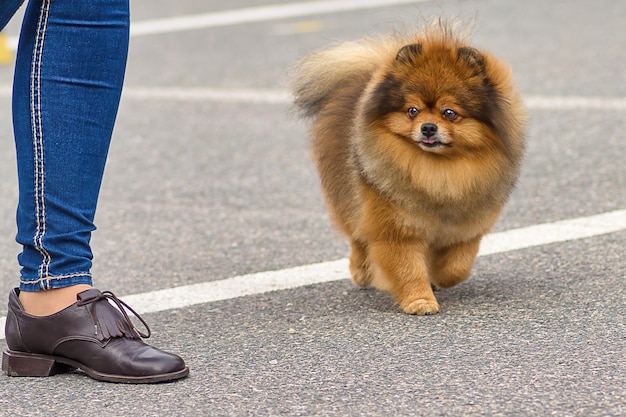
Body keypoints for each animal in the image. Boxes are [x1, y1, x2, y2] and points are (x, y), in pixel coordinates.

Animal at [290, 19, 524, 312]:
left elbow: (456, 267)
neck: (438, 170)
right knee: (357, 235)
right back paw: (362, 271)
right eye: (412, 110)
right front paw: (420, 301)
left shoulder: (466, 228)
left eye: (450, 113)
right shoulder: (396, 229)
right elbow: (407, 268)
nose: (428, 127)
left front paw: (438, 278)